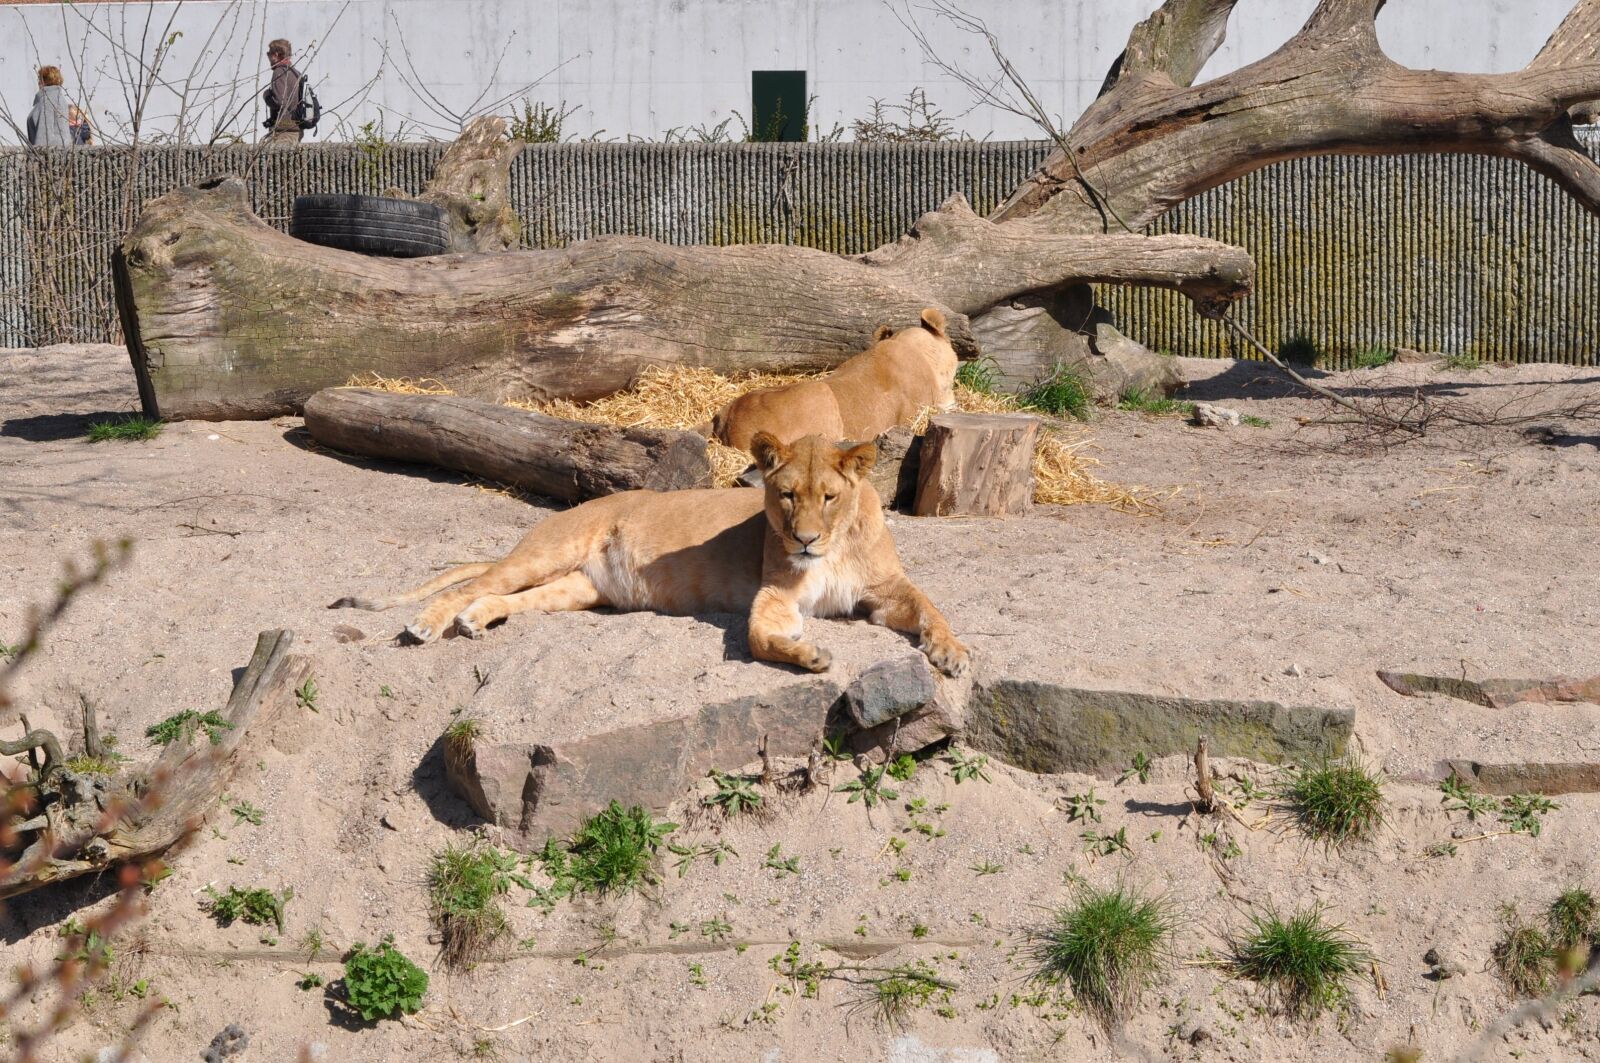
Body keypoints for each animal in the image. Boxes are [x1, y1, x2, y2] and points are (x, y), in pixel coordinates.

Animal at [331, 432, 970, 677]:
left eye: (829, 498)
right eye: (787, 496)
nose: (804, 540)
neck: (831, 548)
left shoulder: (883, 590)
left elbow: (932, 607)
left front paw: (952, 653)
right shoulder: (776, 592)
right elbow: (759, 638)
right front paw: (808, 655)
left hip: (576, 588)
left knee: (505, 597)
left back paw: (473, 621)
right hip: (547, 552)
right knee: (471, 583)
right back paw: (426, 624)